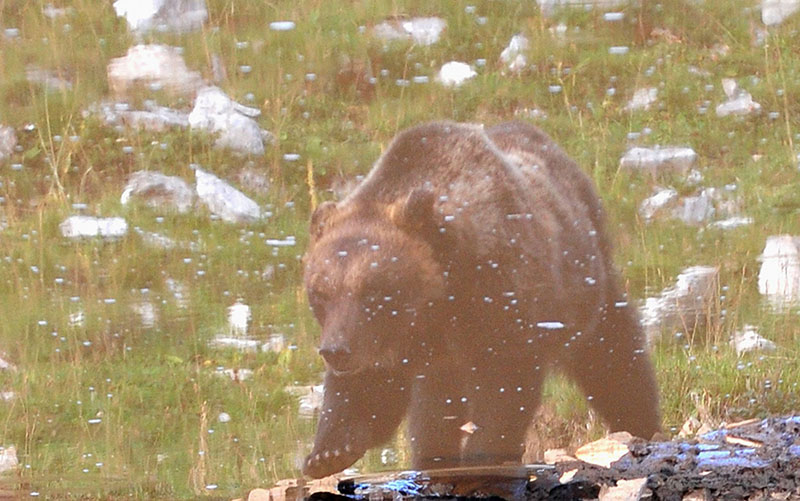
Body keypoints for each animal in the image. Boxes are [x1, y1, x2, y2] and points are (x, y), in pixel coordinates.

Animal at [304, 120, 660, 476]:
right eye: (320, 292)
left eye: (373, 289)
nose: (334, 350)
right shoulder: (391, 342)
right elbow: (369, 390)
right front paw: (327, 453)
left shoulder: (497, 297)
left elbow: (503, 385)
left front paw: (484, 453)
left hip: (584, 284)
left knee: (611, 353)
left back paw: (640, 421)